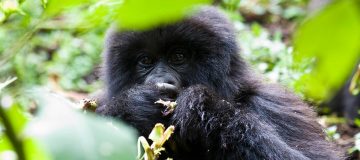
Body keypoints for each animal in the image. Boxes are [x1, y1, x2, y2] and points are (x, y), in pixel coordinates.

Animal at [95, 6, 340, 160]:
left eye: (178, 57)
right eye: (145, 60)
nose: (160, 81)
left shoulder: (273, 104)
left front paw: (202, 107)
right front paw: (134, 105)